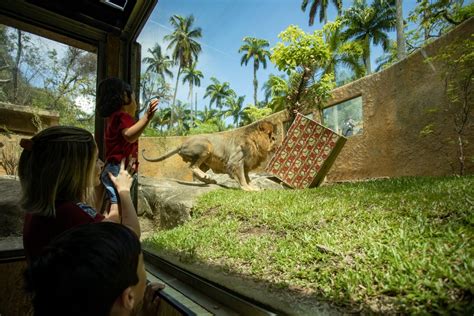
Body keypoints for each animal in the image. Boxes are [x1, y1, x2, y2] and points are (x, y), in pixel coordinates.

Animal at [143, 120, 280, 190]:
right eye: (272, 137)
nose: (277, 141)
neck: (255, 143)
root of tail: (182, 144)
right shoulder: (235, 162)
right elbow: (241, 177)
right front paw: (247, 188)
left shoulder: (246, 164)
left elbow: (247, 177)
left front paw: (253, 187)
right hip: (206, 146)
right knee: (192, 167)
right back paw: (207, 177)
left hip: (206, 161)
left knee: (195, 171)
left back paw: (209, 179)